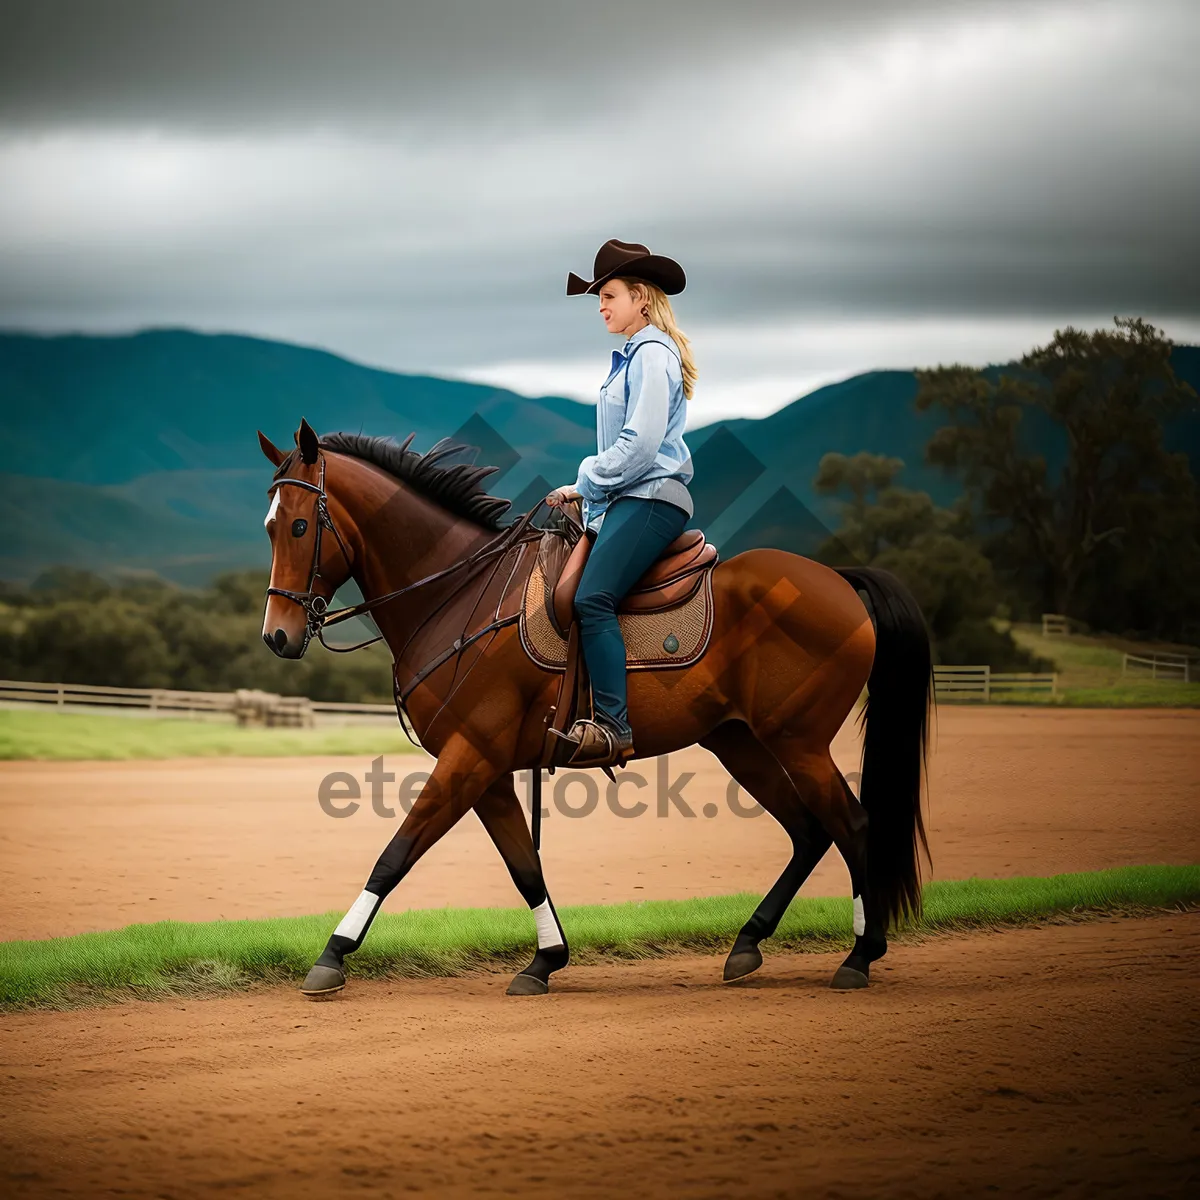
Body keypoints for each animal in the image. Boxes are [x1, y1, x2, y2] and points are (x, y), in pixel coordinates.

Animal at [260, 417, 936, 998]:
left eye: (298, 527)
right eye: (269, 528)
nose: (277, 637)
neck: (457, 591)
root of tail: (839, 579)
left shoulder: (469, 756)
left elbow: (395, 854)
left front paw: (332, 954)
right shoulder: (485, 765)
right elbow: (523, 865)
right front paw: (545, 959)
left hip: (798, 742)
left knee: (853, 825)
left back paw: (860, 955)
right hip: (740, 741)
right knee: (808, 831)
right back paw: (748, 944)